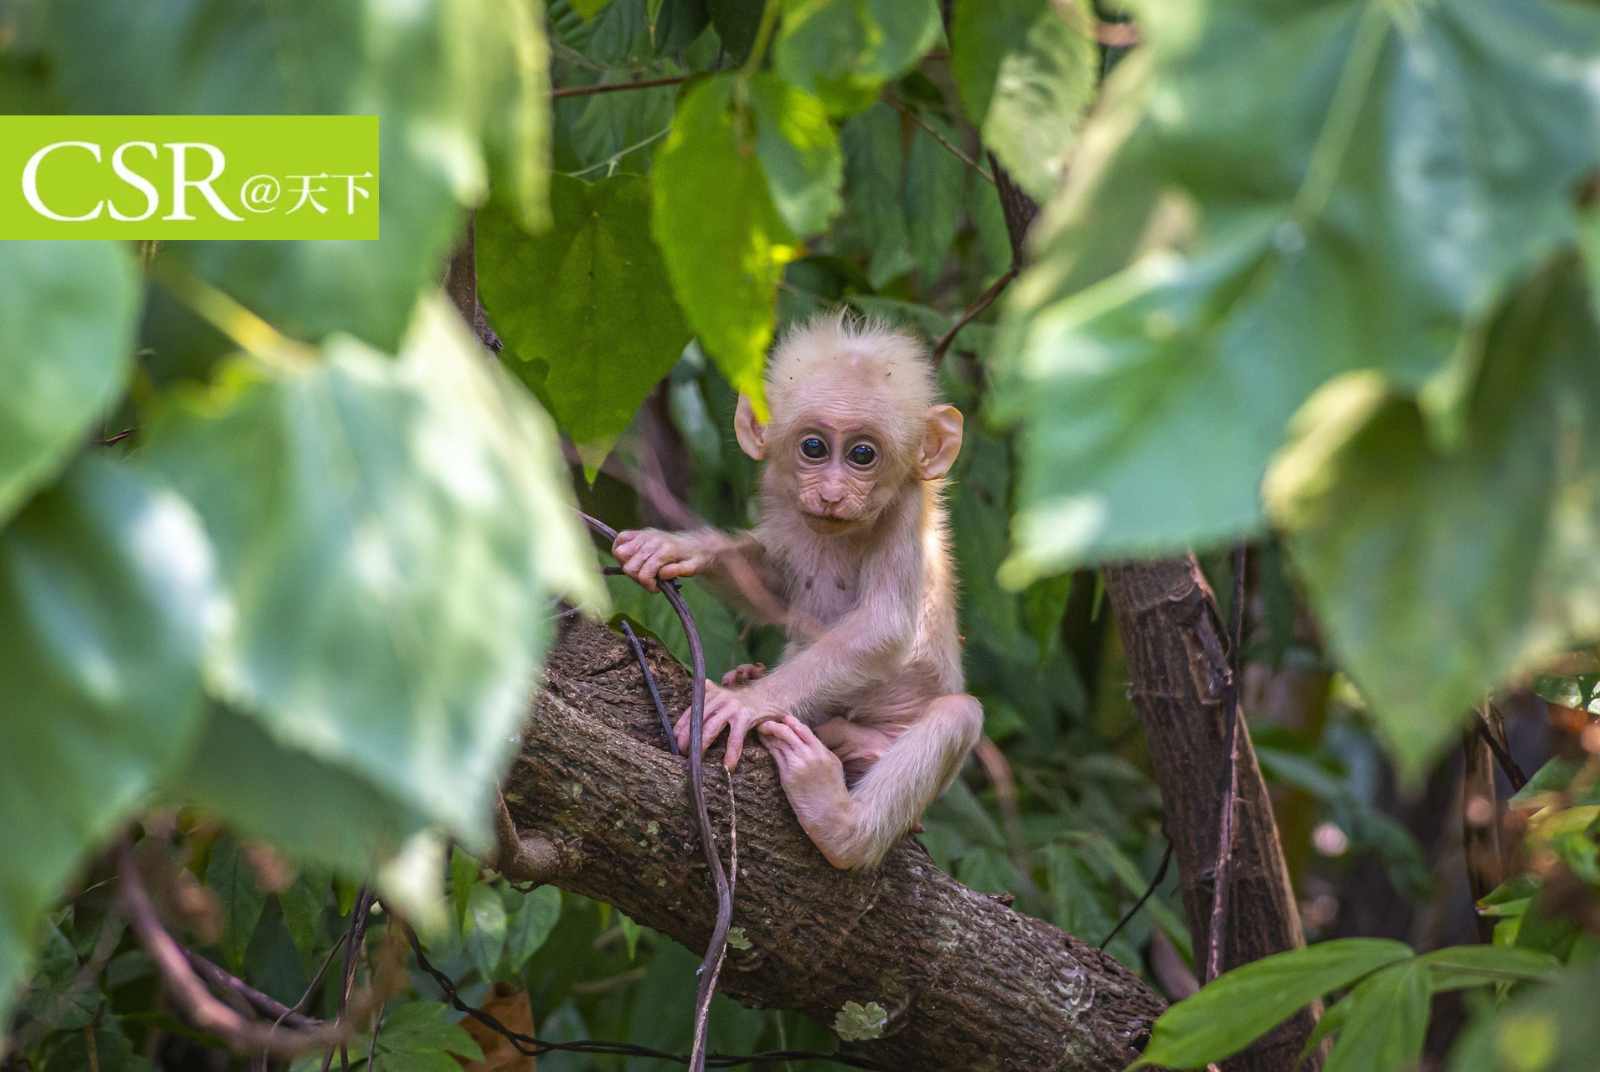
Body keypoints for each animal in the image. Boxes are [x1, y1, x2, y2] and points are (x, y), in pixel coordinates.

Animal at [614, 313, 979, 870]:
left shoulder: (906, 511)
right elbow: (775, 587)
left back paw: (839, 823)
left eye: (863, 454)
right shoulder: (784, 499)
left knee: (959, 713)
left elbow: (885, 626)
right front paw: (679, 547)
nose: (831, 494)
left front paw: (745, 704)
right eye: (813, 447)